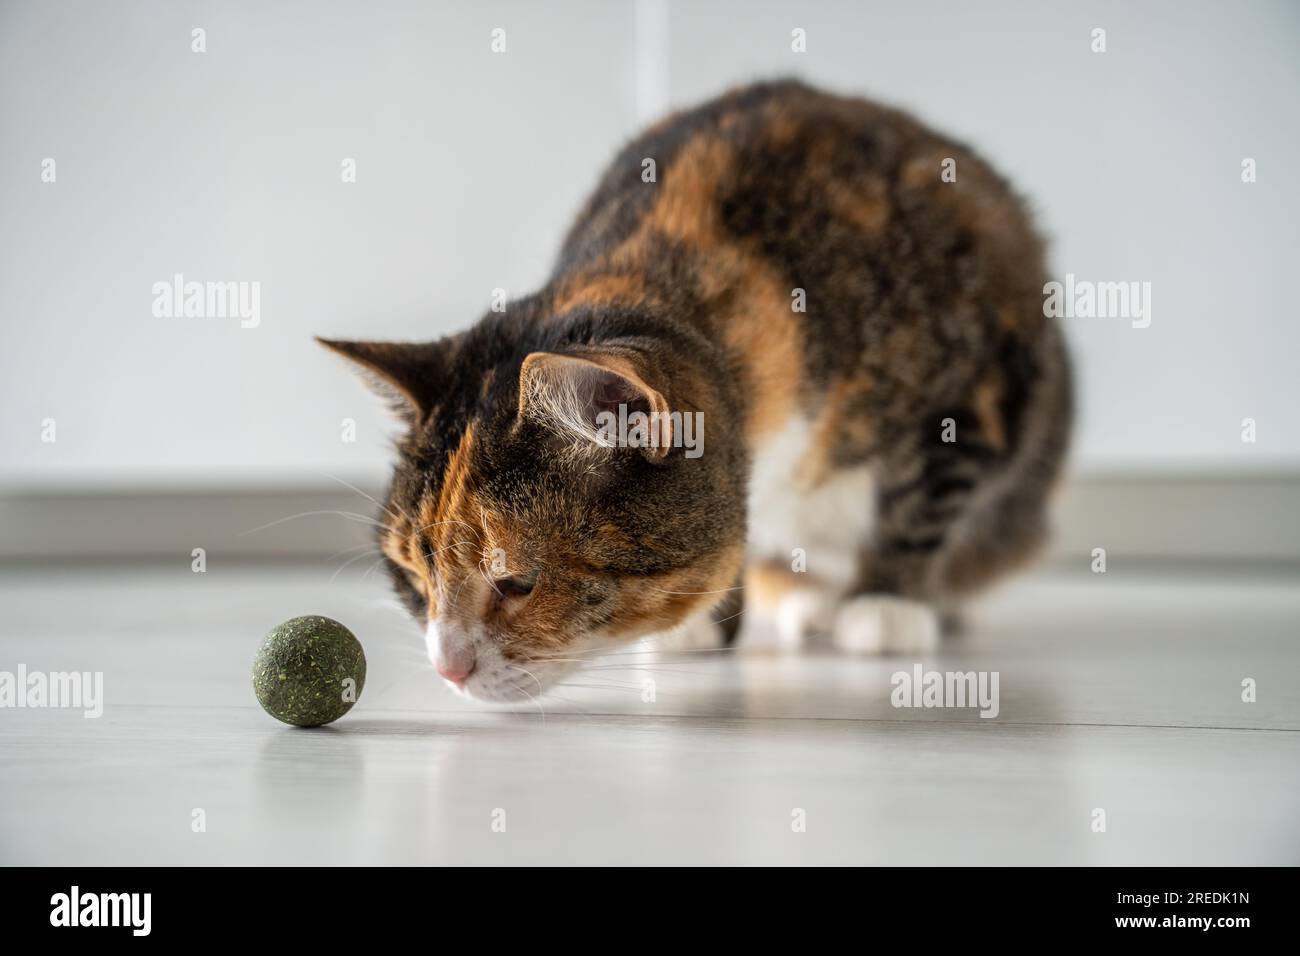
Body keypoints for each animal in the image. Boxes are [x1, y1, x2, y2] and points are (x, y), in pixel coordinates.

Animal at [319, 78, 1071, 702]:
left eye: (518, 583)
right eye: (413, 579)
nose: (447, 670)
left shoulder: (973, 387)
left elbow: (920, 500)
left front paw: (888, 604)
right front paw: (701, 624)